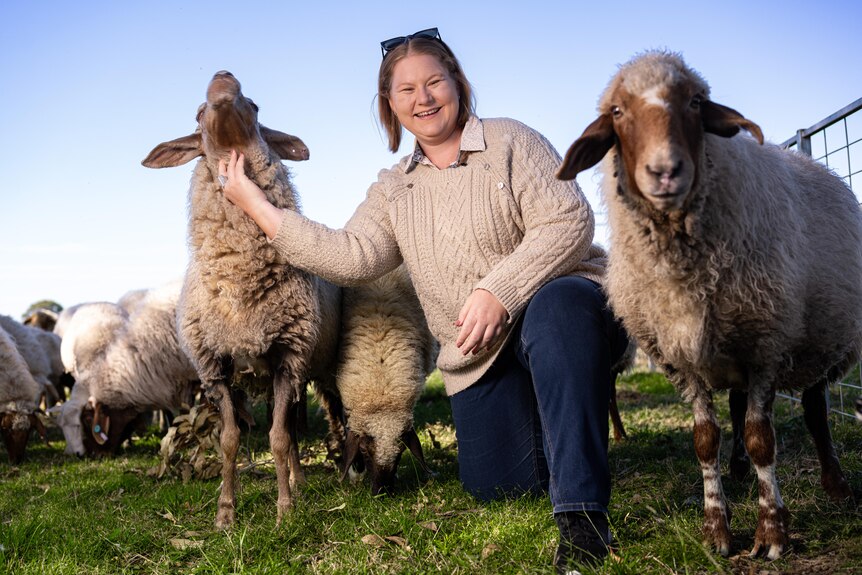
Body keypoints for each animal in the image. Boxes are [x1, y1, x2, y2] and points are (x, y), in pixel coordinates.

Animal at [143, 72, 342, 532]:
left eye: (254, 105)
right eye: (198, 113)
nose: (222, 76)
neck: (241, 285)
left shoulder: (289, 354)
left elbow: (279, 438)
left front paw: (285, 510)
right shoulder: (214, 366)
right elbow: (232, 440)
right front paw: (225, 513)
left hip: (304, 366)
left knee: (295, 426)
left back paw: (302, 481)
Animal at [556, 49, 860, 564]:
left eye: (697, 102)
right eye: (617, 112)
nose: (664, 171)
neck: (684, 274)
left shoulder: (766, 345)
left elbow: (762, 440)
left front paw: (771, 533)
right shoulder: (682, 359)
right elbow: (705, 441)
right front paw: (716, 529)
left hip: (819, 338)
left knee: (816, 409)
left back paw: (835, 484)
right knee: (739, 405)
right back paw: (736, 469)